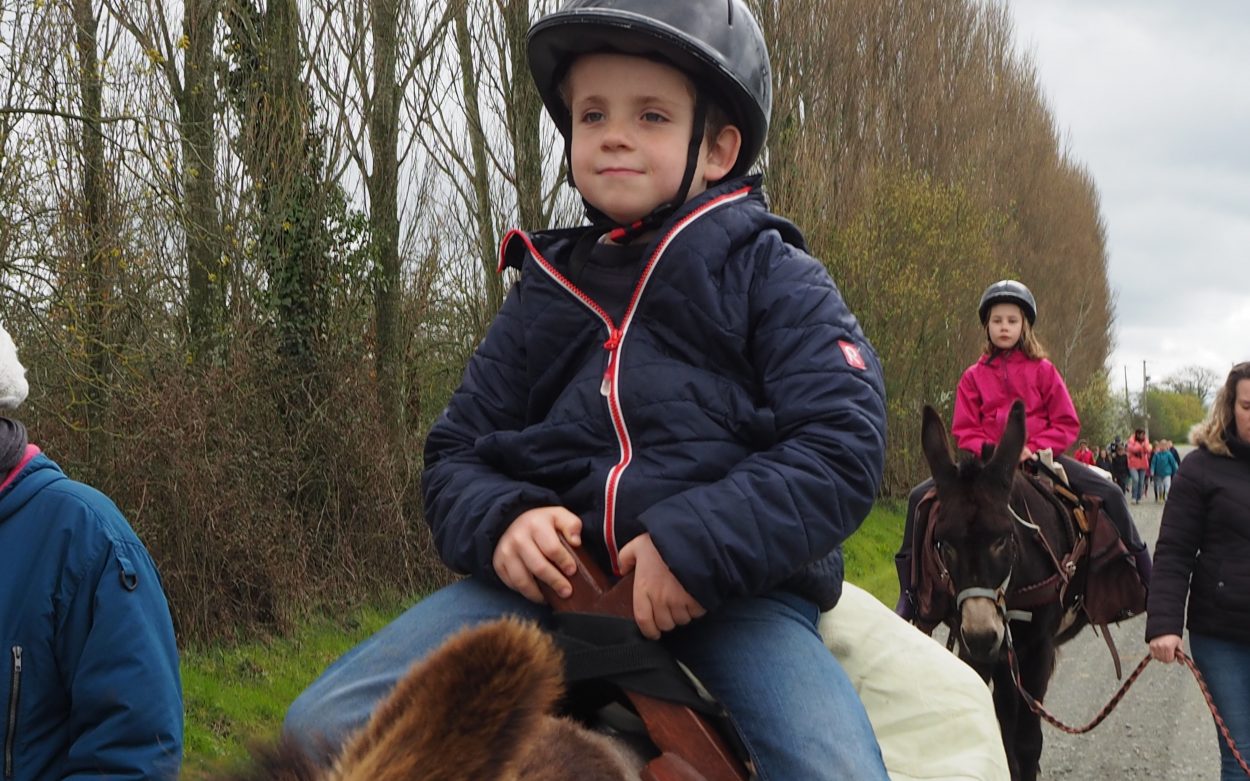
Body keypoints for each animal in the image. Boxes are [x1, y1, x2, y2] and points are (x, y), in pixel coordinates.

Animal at [917, 400, 1087, 781]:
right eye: (943, 543)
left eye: (1004, 538)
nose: (983, 635)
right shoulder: (974, 650)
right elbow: (998, 732)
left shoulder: (1037, 651)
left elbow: (1027, 742)